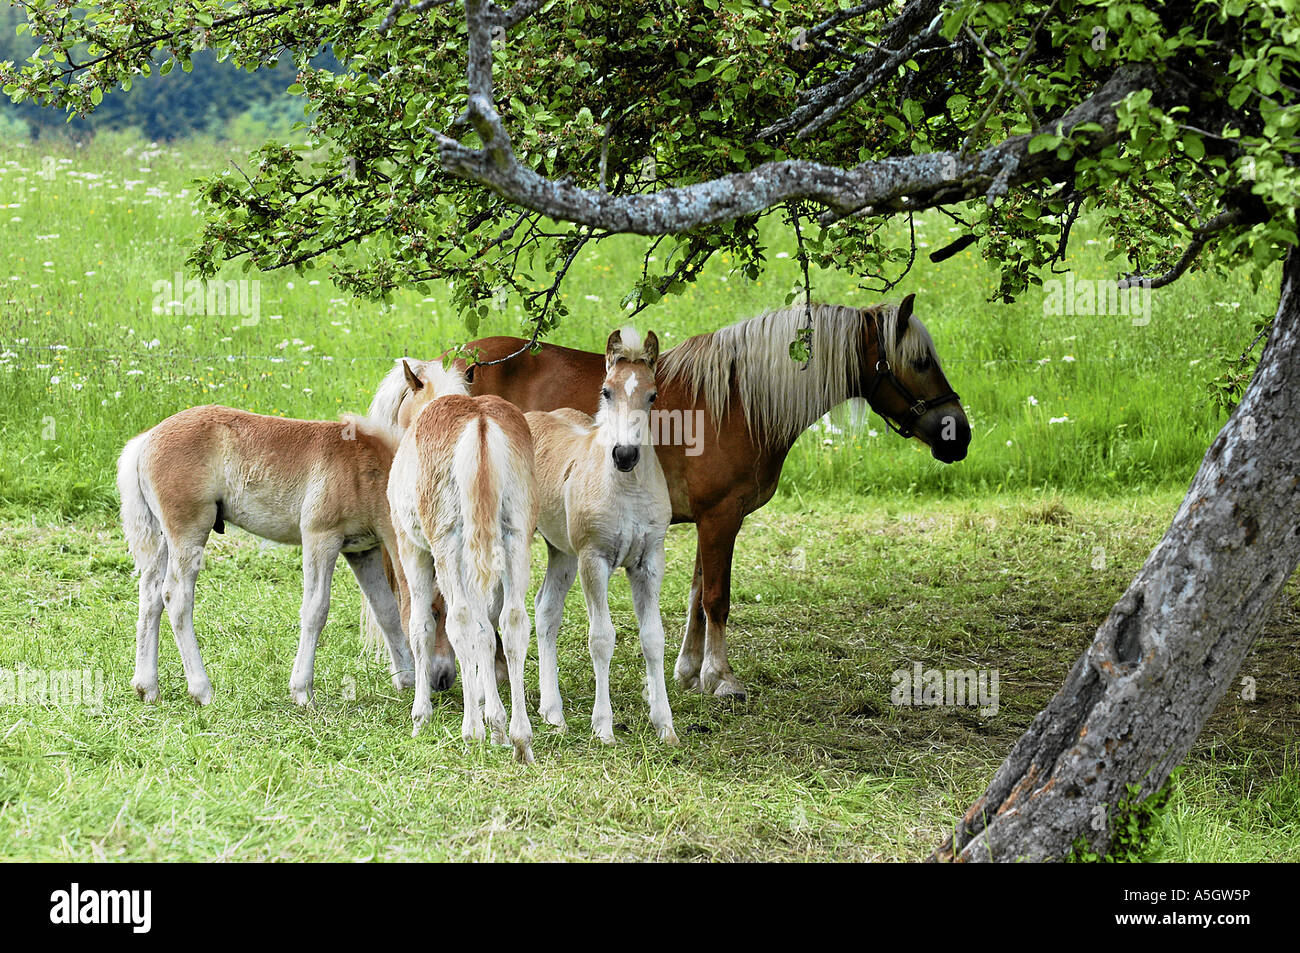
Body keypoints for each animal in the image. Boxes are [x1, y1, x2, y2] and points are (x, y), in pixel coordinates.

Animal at [117, 405, 415, 707]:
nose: (434, 679)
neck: (364, 467)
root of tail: (146, 439)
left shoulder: (363, 550)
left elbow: (386, 610)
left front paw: (407, 679)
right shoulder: (321, 537)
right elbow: (316, 609)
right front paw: (302, 691)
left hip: (164, 539)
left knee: (151, 592)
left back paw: (147, 687)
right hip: (189, 532)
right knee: (176, 596)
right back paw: (202, 690)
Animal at [365, 294, 969, 701]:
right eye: (920, 361)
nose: (957, 434)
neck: (736, 401)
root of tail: (439, 371)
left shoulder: (713, 519)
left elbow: (699, 594)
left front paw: (689, 669)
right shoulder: (721, 518)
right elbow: (718, 597)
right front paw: (721, 678)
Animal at [387, 359, 538, 762]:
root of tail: (479, 422)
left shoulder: (414, 551)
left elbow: (422, 627)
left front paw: (421, 717)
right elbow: (487, 633)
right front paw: (495, 720)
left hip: (447, 549)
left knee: (461, 623)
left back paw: (472, 732)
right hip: (514, 542)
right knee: (513, 624)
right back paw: (519, 738)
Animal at [527, 327, 679, 745]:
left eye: (652, 395)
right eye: (607, 391)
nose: (624, 455)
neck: (626, 488)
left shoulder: (649, 561)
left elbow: (653, 638)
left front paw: (665, 726)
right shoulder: (593, 559)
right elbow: (601, 638)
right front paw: (604, 727)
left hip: (561, 553)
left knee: (545, 609)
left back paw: (553, 712)